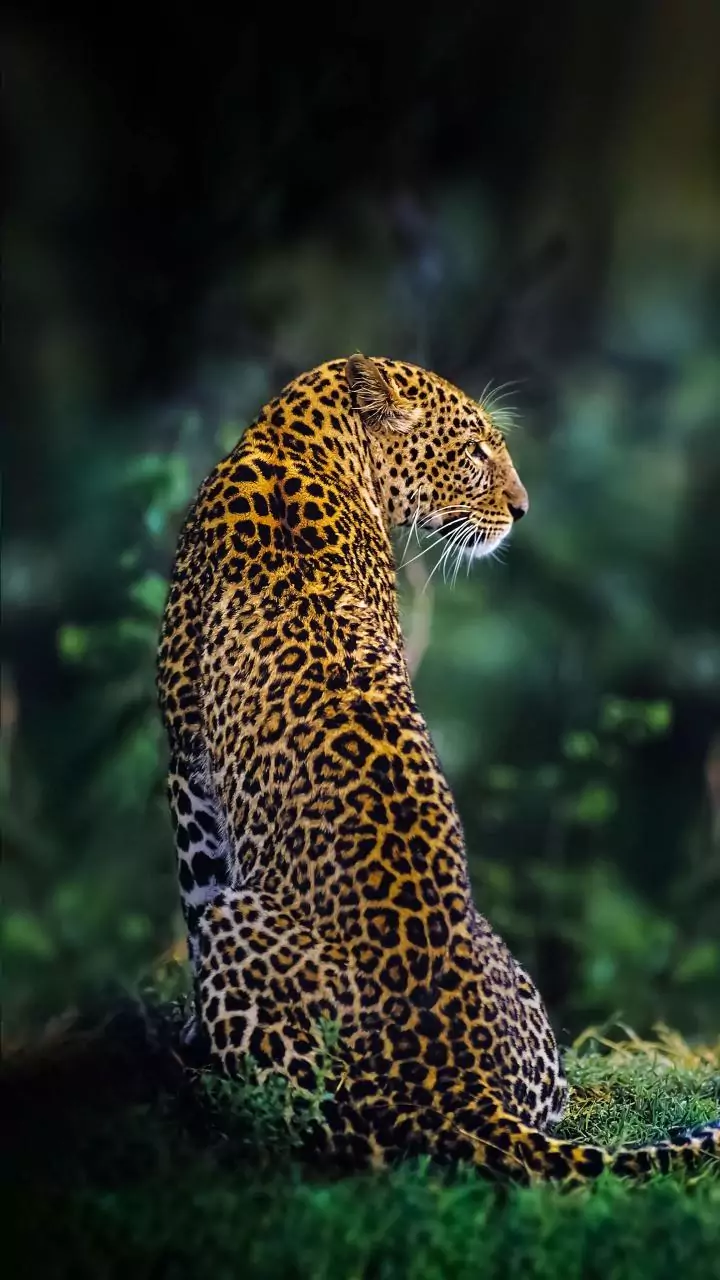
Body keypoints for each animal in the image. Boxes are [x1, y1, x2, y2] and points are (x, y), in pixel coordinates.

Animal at [157, 354, 719, 1183]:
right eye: (475, 452)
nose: (523, 510)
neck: (292, 441)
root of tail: (460, 1085)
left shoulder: (187, 763)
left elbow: (195, 888)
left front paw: (190, 1036)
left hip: (249, 939)